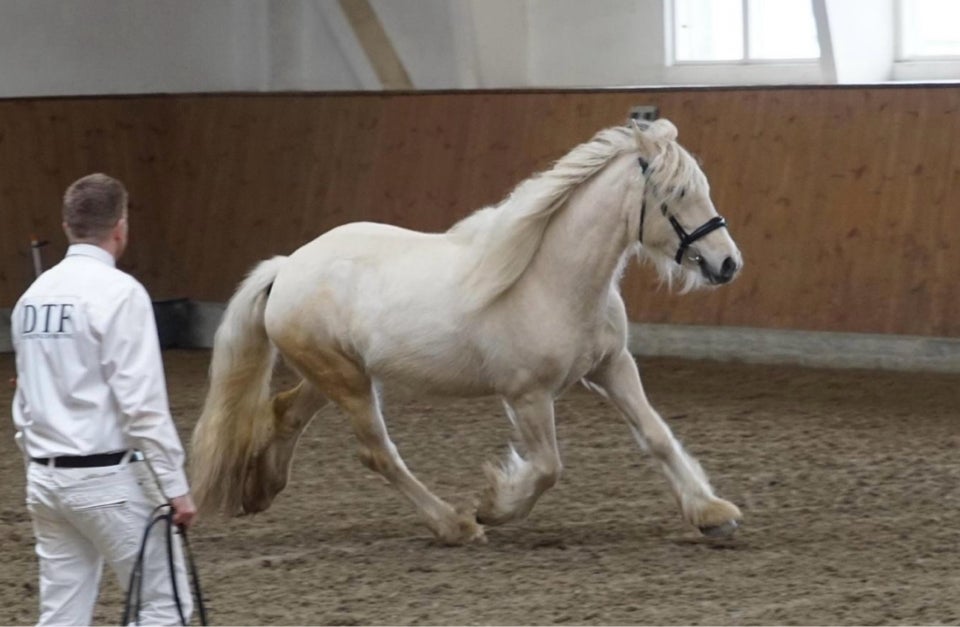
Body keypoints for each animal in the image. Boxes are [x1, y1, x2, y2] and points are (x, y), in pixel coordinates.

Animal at [188, 118, 744, 544]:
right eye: (677, 193)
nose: (727, 263)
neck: (551, 280)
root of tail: (287, 267)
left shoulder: (611, 367)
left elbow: (656, 435)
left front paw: (712, 513)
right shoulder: (526, 395)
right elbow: (548, 467)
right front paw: (494, 507)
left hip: (337, 376)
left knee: (286, 412)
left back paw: (260, 490)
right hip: (347, 382)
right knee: (378, 453)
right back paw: (454, 525)